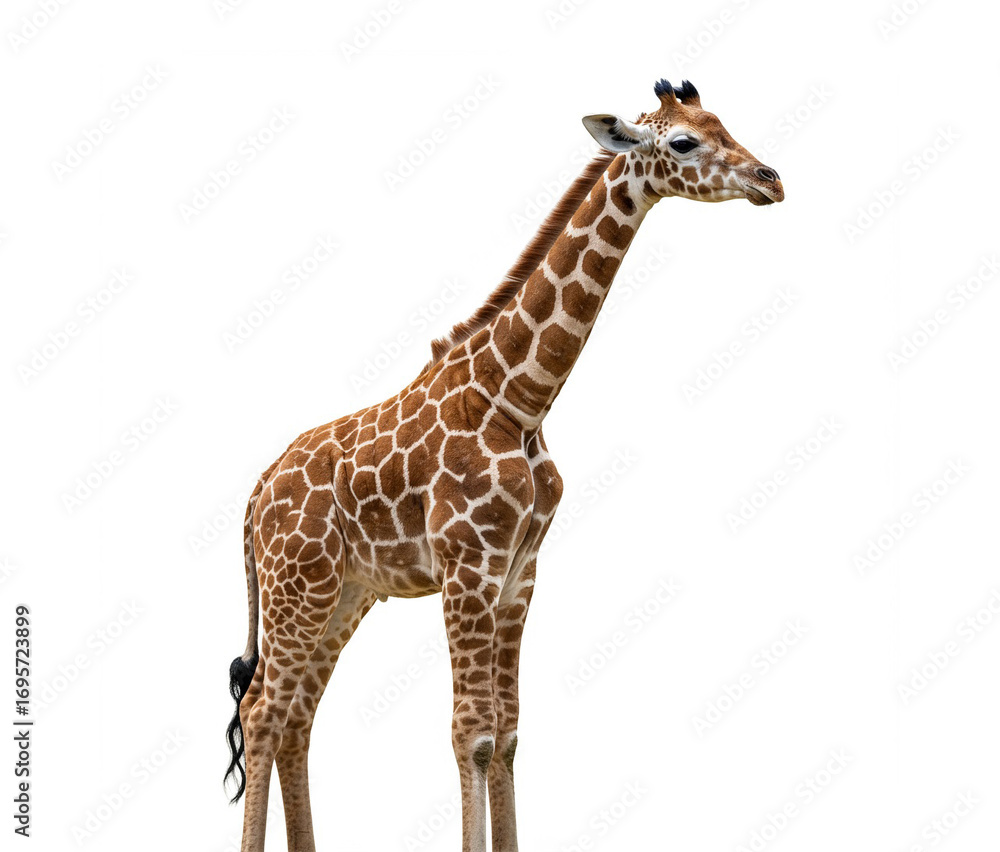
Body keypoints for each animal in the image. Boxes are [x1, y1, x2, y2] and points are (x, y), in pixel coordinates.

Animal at [225, 79, 784, 852]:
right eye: (684, 141)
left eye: (723, 123)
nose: (772, 180)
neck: (518, 398)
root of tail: (252, 498)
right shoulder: (469, 566)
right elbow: (472, 732)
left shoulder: (520, 571)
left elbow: (510, 731)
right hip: (297, 588)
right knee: (262, 712)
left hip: (342, 593)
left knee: (297, 718)